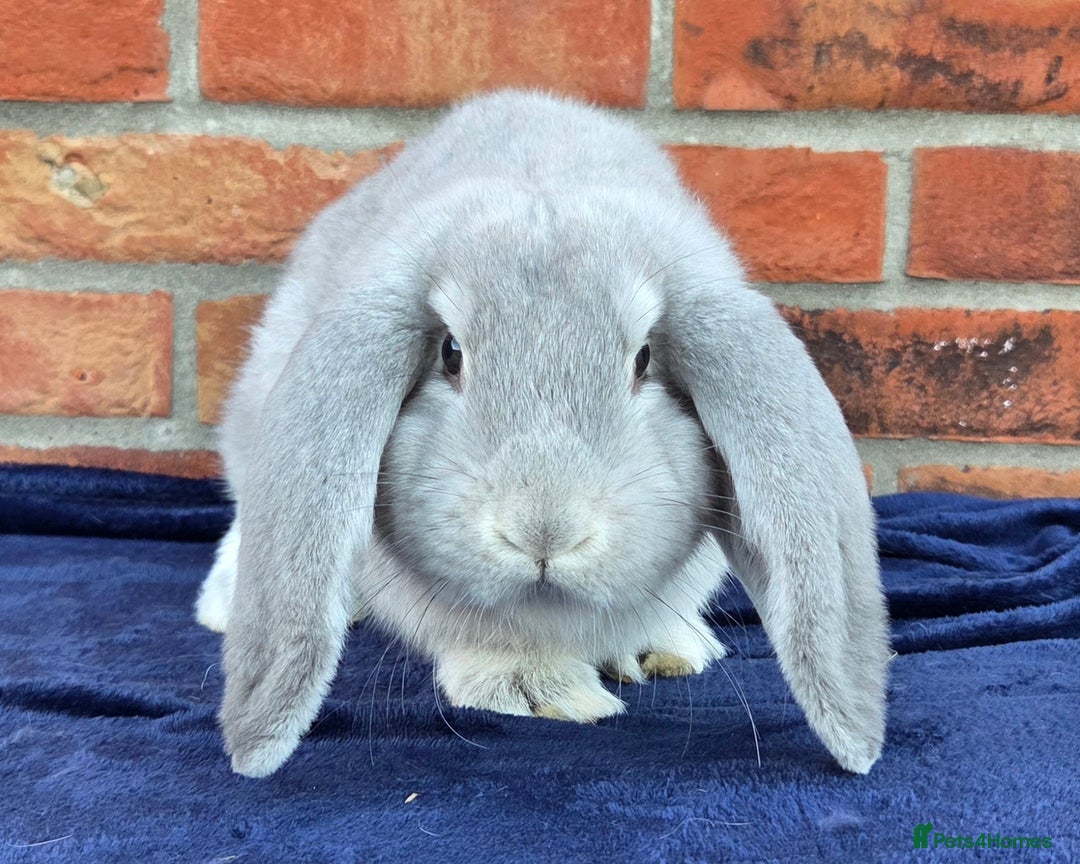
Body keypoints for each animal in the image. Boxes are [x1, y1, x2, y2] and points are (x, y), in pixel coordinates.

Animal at [195, 89, 890, 779]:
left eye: (643, 359)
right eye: (450, 354)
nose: (544, 533)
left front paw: (660, 651)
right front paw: (539, 691)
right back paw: (223, 607)